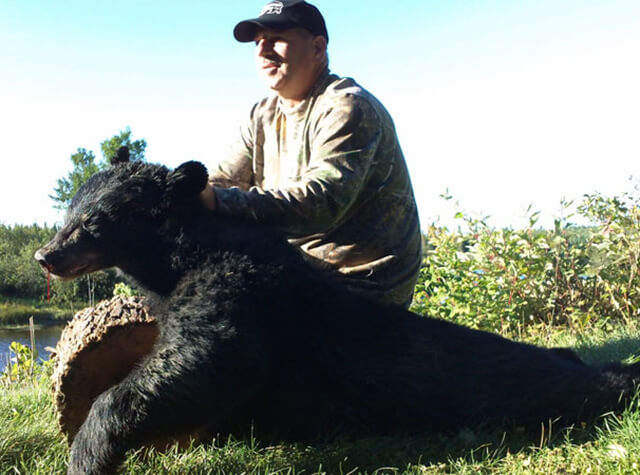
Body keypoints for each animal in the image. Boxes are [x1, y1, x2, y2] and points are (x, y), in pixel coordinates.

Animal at [36, 151, 640, 474]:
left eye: (96, 221)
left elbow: (209, 361)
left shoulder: (240, 292)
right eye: (69, 212)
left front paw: (88, 451)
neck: (184, 254)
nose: (47, 254)